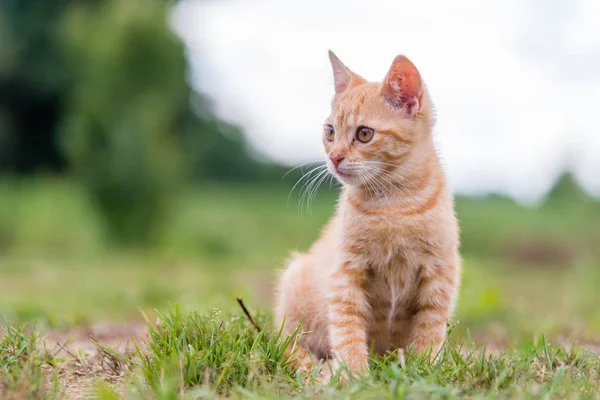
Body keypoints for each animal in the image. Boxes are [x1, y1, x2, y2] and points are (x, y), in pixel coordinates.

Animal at [274, 51, 462, 376]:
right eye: (330, 132)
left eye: (364, 134)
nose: (334, 157)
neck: (394, 204)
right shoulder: (345, 273)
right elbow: (347, 327)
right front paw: (354, 374)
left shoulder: (441, 273)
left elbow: (430, 328)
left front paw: (423, 369)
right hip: (293, 284)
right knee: (287, 344)